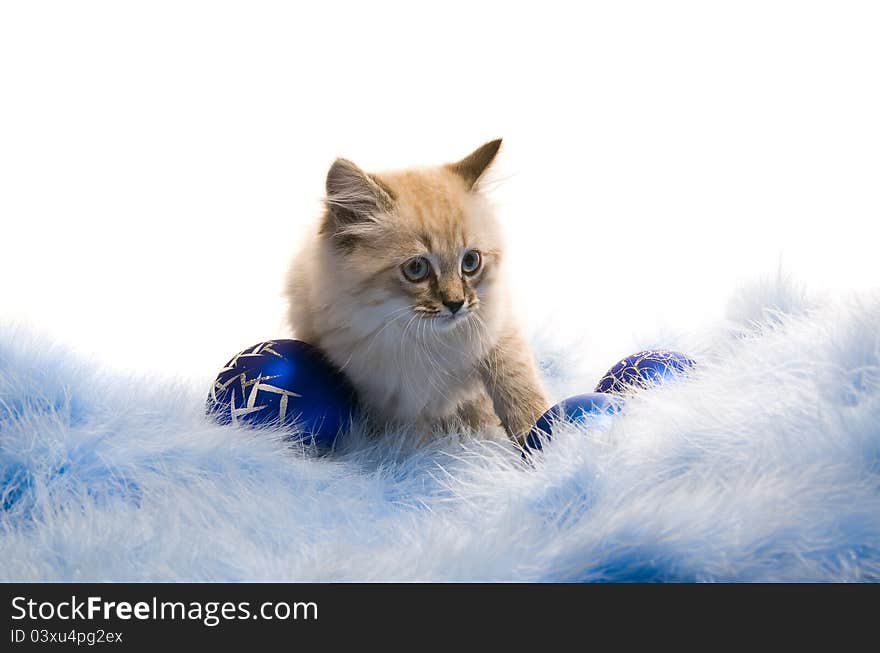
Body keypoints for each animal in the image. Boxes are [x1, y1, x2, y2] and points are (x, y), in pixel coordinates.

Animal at [286, 139, 548, 440]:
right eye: (416, 268)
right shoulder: (389, 395)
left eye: (470, 262)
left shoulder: (497, 330)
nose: (456, 304)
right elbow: (417, 438)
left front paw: (540, 435)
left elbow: (517, 386)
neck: (426, 339)